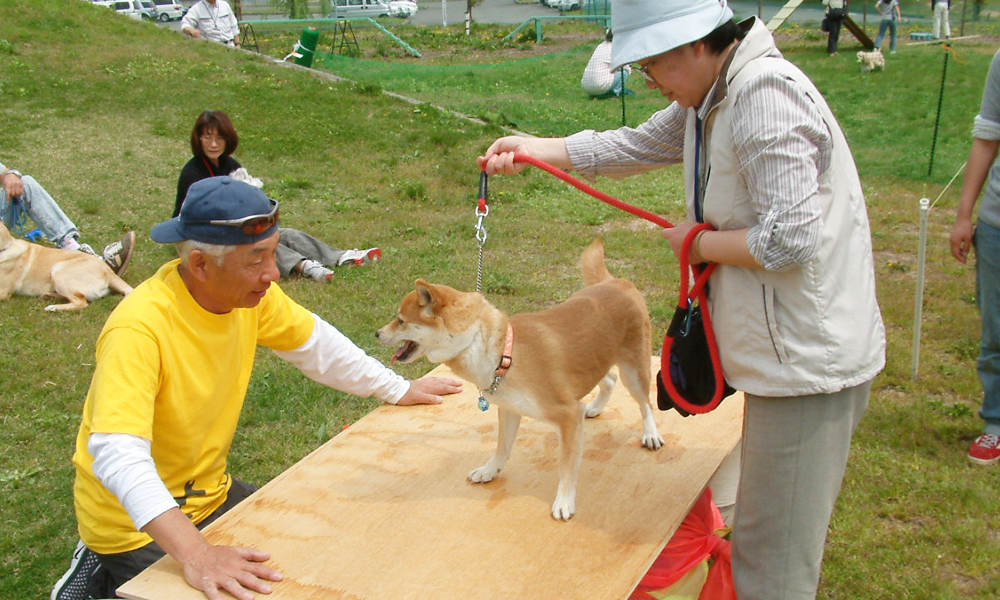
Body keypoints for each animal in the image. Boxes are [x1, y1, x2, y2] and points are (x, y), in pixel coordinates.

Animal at [0, 221, 133, 312]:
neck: (4, 248)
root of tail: (109, 271)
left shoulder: (3, 292)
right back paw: (49, 296)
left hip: (59, 271)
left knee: (81, 302)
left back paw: (53, 307)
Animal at [376, 239, 664, 520]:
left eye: (400, 320)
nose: (377, 333)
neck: (504, 354)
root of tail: (618, 282)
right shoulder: (510, 409)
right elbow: (502, 447)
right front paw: (489, 470)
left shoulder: (568, 415)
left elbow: (567, 467)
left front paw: (564, 501)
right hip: (595, 362)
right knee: (609, 379)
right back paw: (594, 407)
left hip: (634, 370)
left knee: (645, 404)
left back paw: (651, 434)